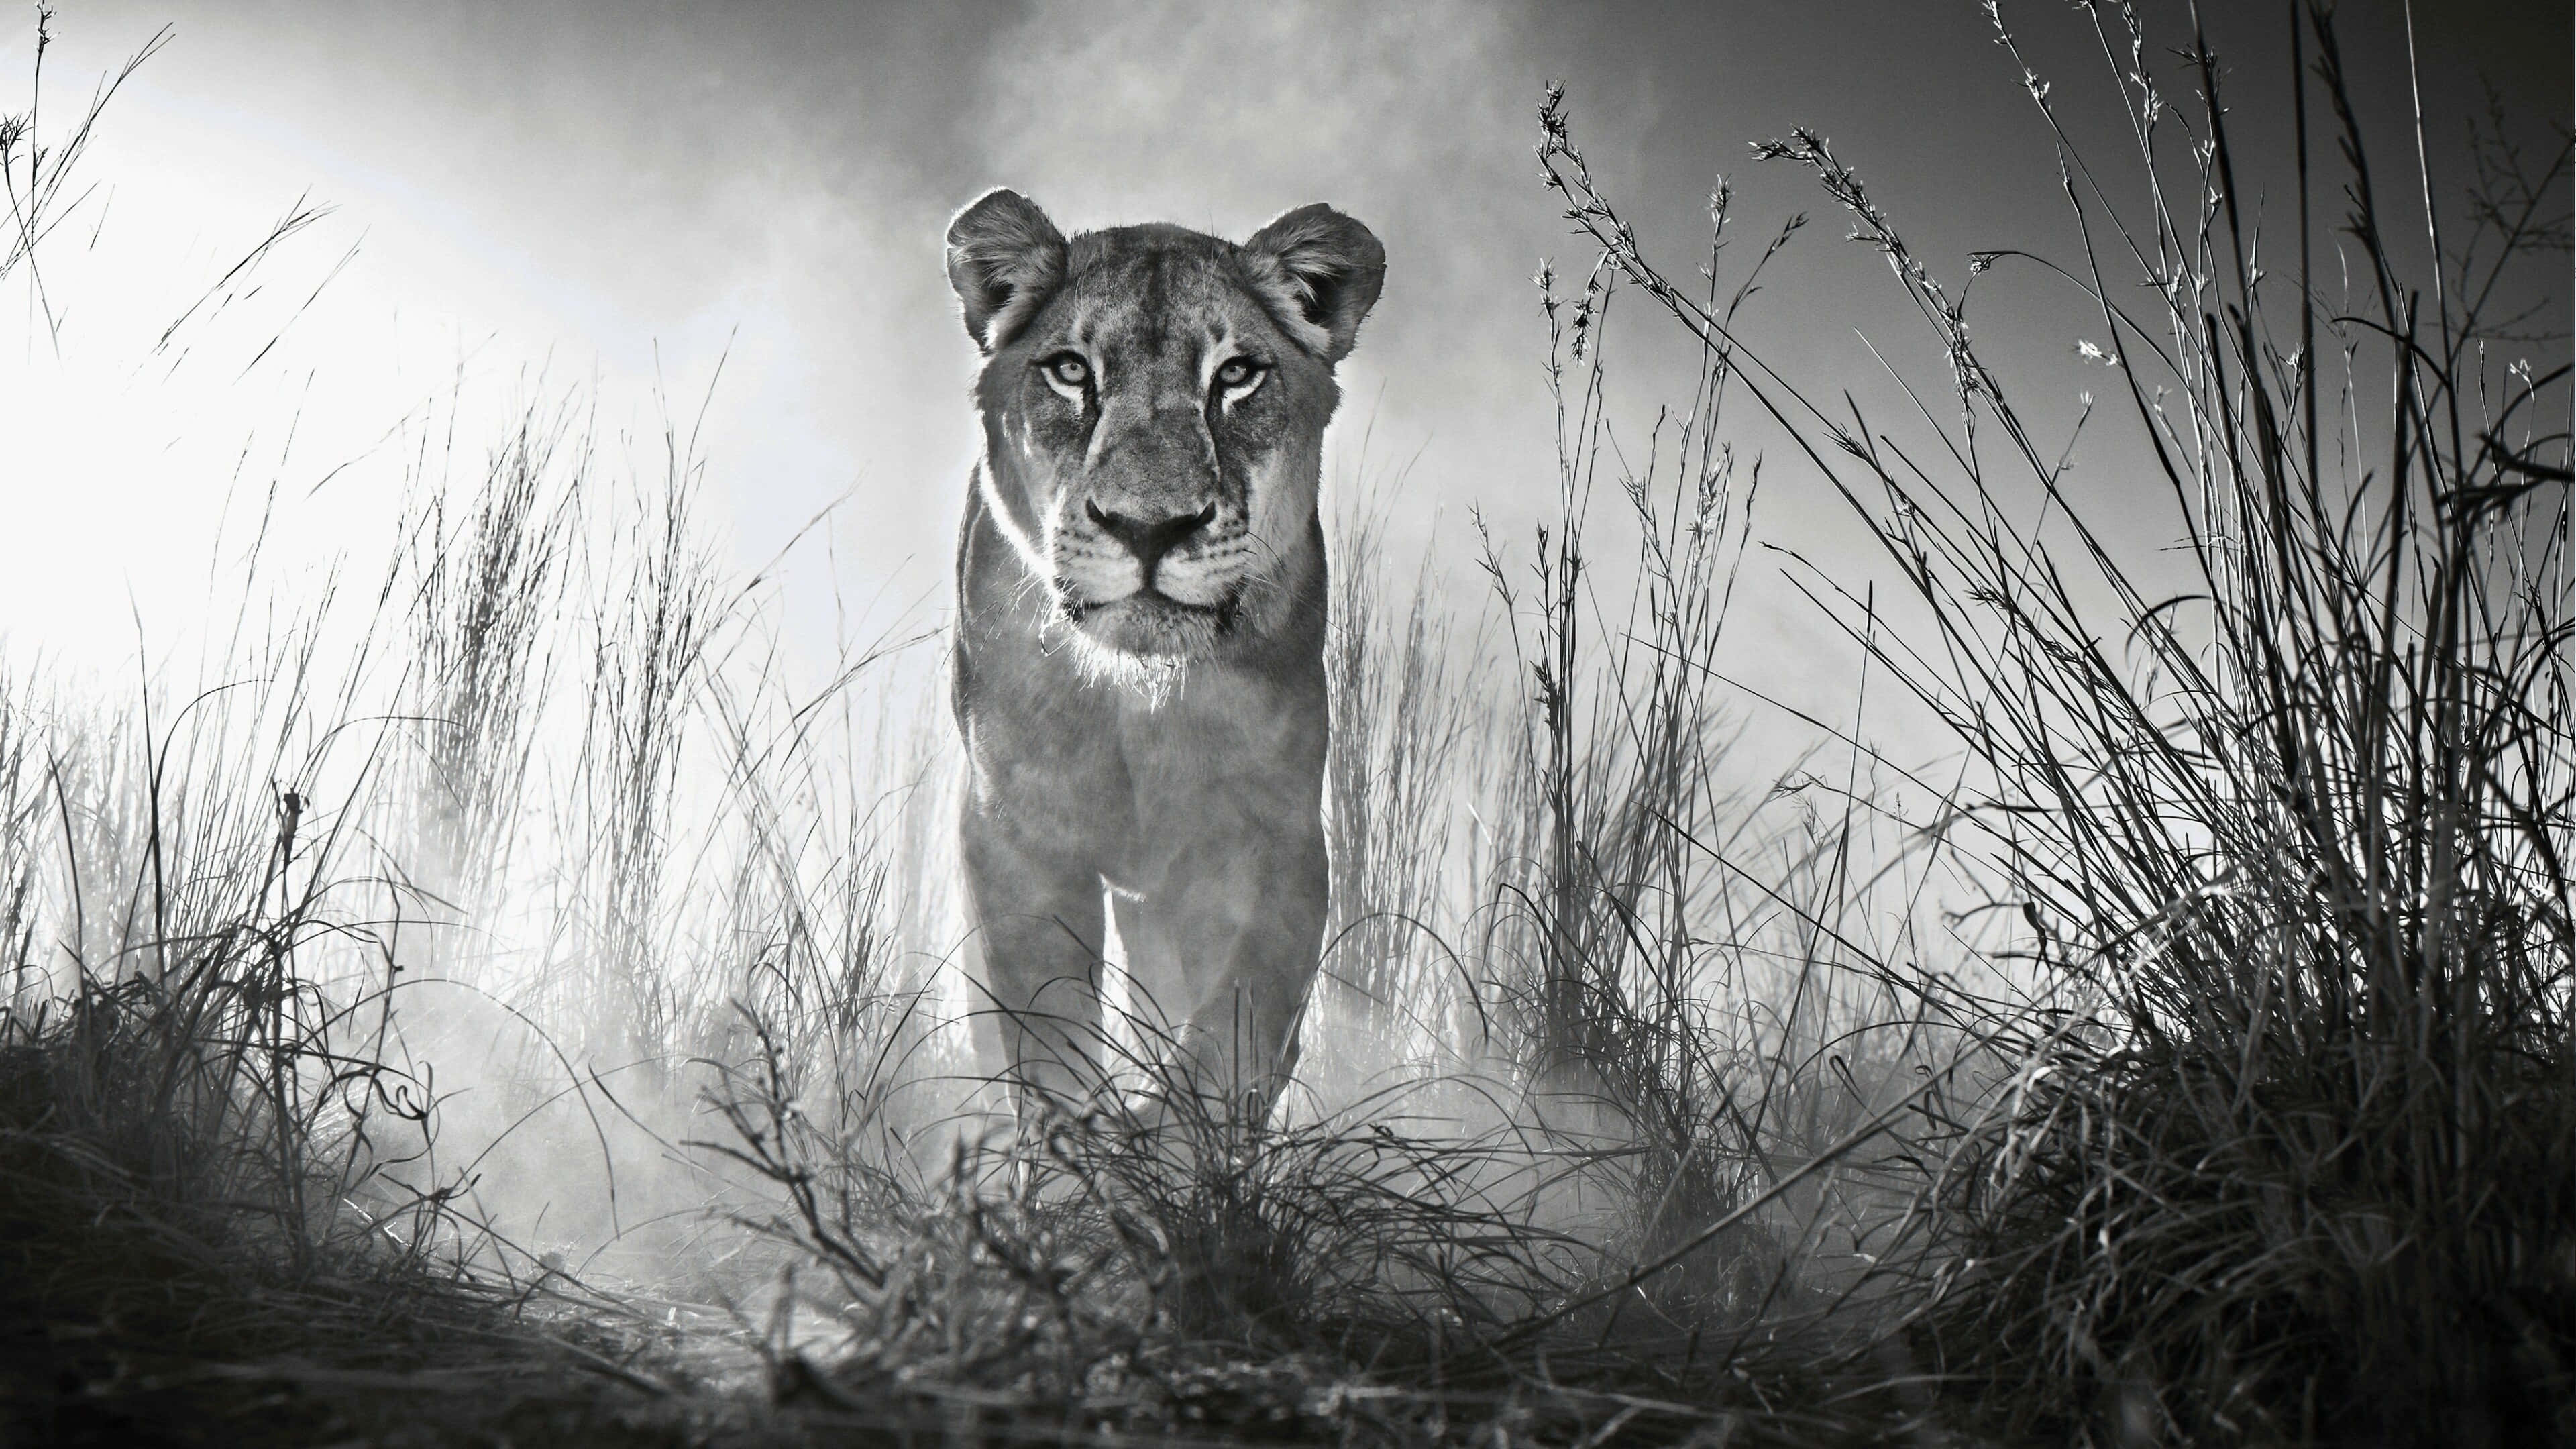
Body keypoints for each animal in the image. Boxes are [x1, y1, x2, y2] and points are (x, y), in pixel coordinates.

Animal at [941, 188, 1384, 1126]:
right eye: (1071, 371)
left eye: (1237, 374)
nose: (1149, 528)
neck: (1137, 701)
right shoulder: (1014, 832)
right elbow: (1046, 1027)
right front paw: (1076, 1146)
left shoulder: (1275, 837)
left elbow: (1236, 1025)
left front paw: (1169, 1138)